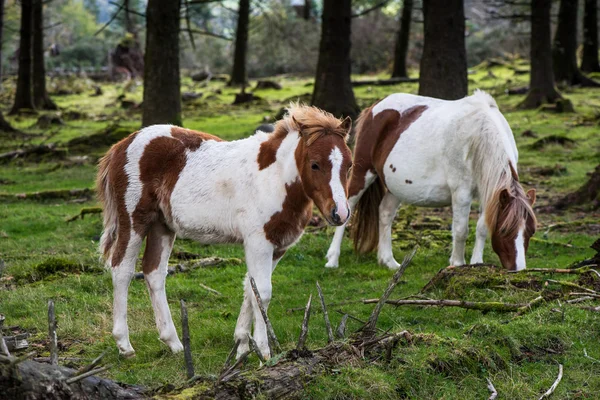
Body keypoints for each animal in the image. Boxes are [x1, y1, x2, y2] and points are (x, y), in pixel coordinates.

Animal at [96, 104, 354, 358]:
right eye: (315, 164)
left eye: (349, 165)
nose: (339, 213)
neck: (275, 178)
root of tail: (121, 145)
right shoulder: (258, 242)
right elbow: (262, 292)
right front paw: (264, 352)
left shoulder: (278, 245)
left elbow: (251, 289)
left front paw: (241, 346)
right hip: (134, 219)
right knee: (122, 269)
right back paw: (125, 345)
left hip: (163, 224)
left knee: (154, 272)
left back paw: (174, 344)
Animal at [326, 90, 536, 272]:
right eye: (504, 230)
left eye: (531, 231)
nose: (518, 270)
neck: (478, 136)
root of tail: (375, 107)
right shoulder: (461, 193)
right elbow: (461, 230)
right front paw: (457, 264)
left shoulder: (490, 192)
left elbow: (482, 227)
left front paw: (477, 264)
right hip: (363, 172)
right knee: (348, 208)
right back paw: (332, 259)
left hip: (396, 187)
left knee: (385, 212)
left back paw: (389, 261)